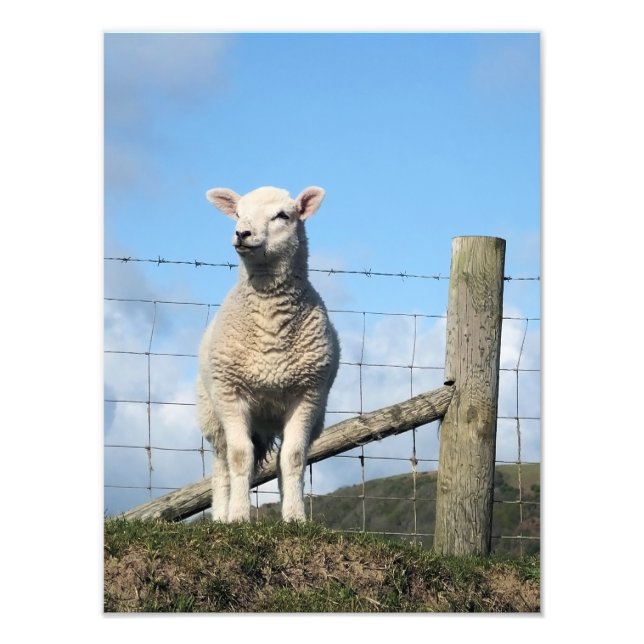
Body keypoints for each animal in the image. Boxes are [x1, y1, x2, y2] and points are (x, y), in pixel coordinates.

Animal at [197, 185, 340, 522]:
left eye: (282, 216)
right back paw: (221, 516)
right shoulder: (230, 392)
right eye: (237, 213)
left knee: (280, 459)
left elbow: (294, 458)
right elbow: (239, 457)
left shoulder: (308, 394)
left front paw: (296, 518)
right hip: (212, 413)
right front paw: (238, 517)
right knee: (222, 465)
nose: (242, 233)